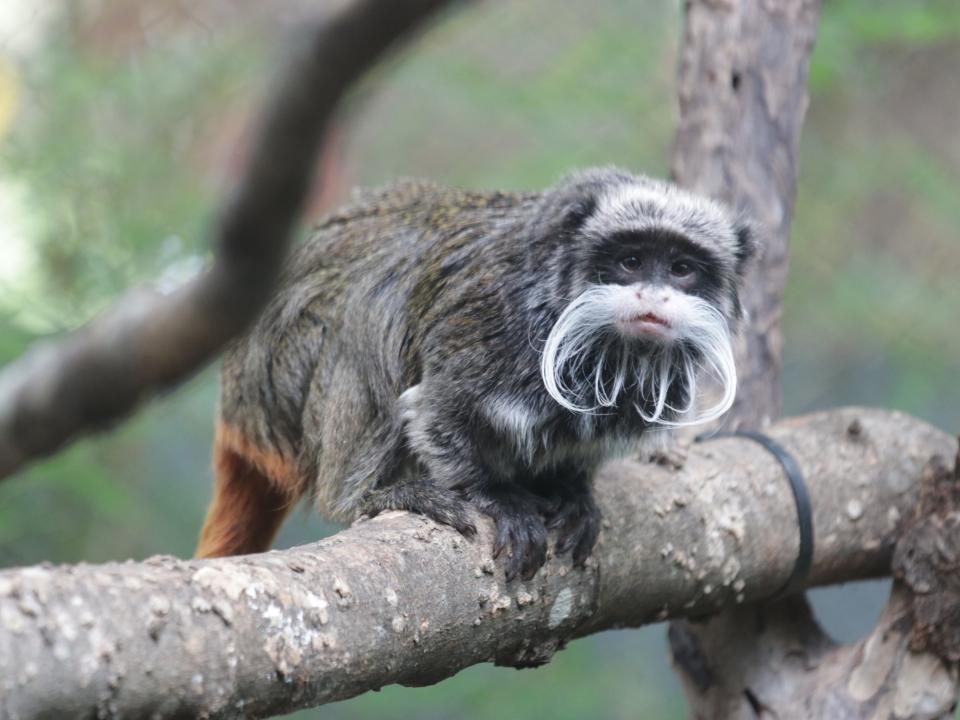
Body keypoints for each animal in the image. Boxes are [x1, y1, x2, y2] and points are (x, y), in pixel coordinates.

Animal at [195, 167, 752, 580]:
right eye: (630, 260)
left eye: (682, 269)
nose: (654, 296)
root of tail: (234, 405)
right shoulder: (490, 325)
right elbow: (436, 413)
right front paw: (496, 497)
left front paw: (573, 491)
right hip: (280, 380)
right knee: (369, 309)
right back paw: (366, 494)